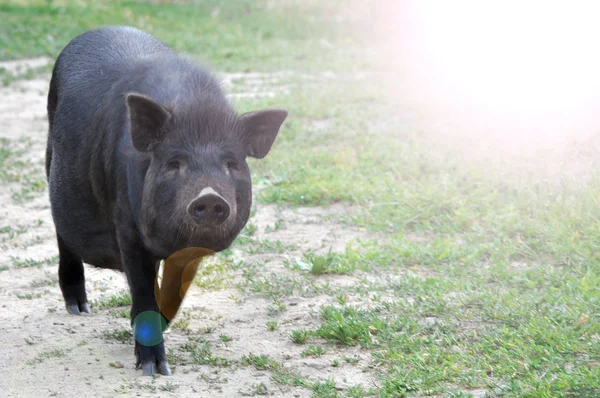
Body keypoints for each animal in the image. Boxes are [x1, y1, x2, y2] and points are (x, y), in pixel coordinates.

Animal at [45, 27, 288, 376]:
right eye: (174, 162)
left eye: (231, 163)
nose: (210, 196)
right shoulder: (126, 227)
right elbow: (144, 289)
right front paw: (155, 370)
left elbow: (174, 292)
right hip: (51, 166)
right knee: (62, 237)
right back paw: (79, 309)